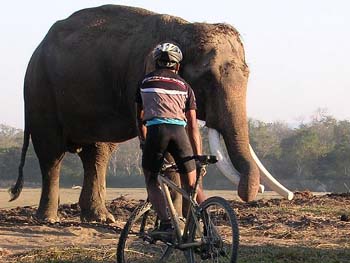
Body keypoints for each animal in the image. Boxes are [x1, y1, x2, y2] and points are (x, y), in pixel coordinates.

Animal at [10, 3, 290, 223]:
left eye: (248, 74)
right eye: (208, 78)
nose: (258, 189)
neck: (183, 28)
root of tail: (38, 48)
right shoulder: (139, 74)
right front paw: (178, 217)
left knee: (97, 154)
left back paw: (101, 218)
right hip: (40, 91)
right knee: (51, 153)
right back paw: (48, 219)